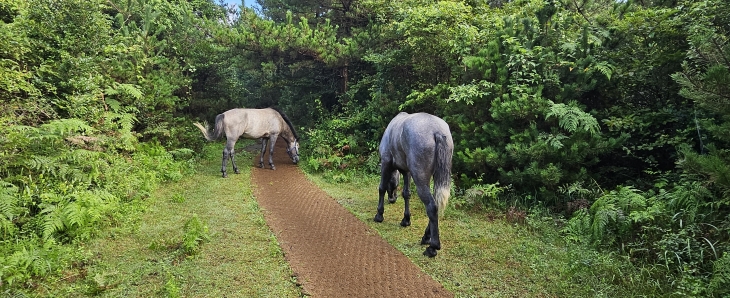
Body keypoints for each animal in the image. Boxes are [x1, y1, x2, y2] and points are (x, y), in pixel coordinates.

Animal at [376, 112, 450, 256]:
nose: (392, 199)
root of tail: (437, 131)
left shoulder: (386, 162)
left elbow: (381, 188)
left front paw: (379, 215)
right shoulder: (407, 172)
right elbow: (406, 194)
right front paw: (406, 219)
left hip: (420, 179)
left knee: (431, 206)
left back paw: (433, 246)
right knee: (436, 204)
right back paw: (427, 236)